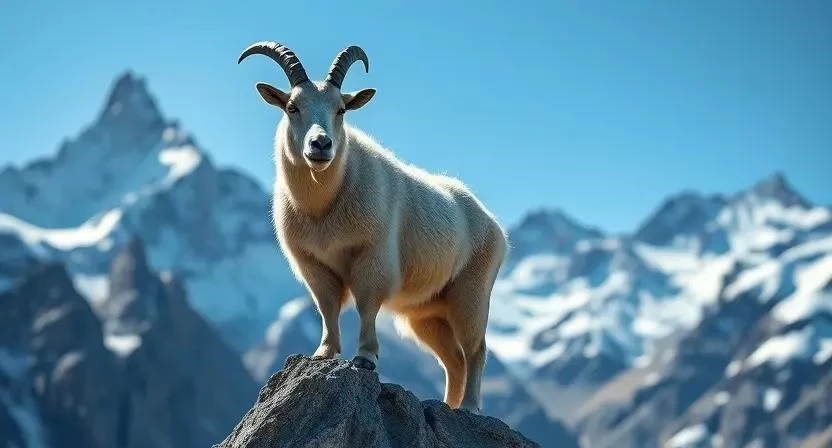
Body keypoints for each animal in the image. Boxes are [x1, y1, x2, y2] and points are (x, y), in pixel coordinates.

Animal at [238, 41, 507, 412]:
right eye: (292, 107)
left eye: (341, 110)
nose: (320, 145)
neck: (323, 206)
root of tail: (494, 225)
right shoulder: (313, 264)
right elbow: (327, 307)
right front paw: (324, 352)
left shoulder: (373, 255)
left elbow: (367, 304)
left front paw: (365, 358)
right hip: (426, 313)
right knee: (453, 360)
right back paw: (449, 405)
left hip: (472, 291)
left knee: (475, 350)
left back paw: (468, 407)